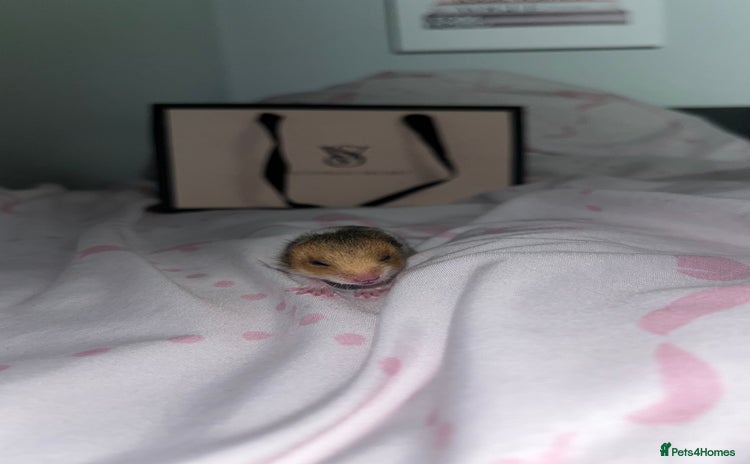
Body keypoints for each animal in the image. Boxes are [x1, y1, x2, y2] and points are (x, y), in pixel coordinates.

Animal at [279, 226, 412, 297]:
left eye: (386, 257)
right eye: (319, 263)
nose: (368, 278)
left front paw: (369, 291)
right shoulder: (292, 267)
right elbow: (304, 277)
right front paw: (319, 289)